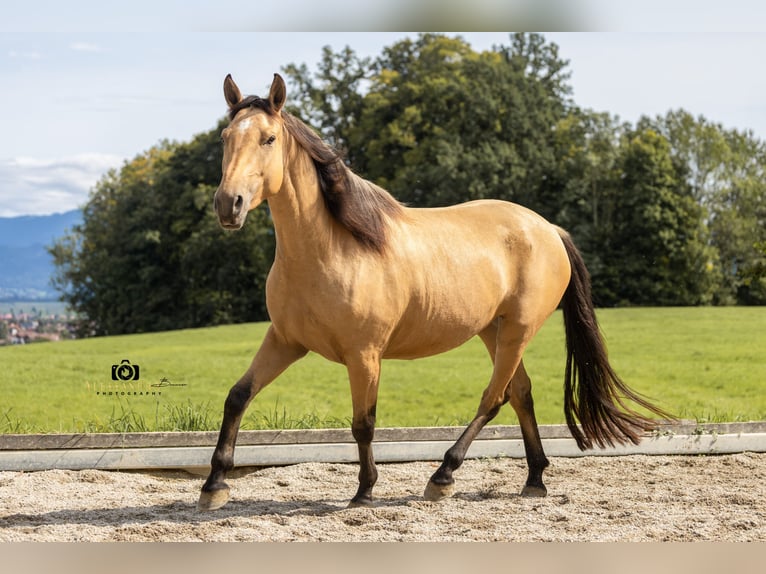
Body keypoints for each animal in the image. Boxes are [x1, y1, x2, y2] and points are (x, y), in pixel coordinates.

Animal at [197, 73, 672, 511]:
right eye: (225, 137)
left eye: (269, 138)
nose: (227, 204)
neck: (332, 250)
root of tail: (548, 229)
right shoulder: (285, 341)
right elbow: (237, 396)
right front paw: (214, 486)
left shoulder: (364, 355)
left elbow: (363, 422)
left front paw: (364, 492)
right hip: (494, 331)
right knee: (520, 393)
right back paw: (534, 478)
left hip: (518, 329)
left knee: (495, 397)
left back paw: (443, 476)